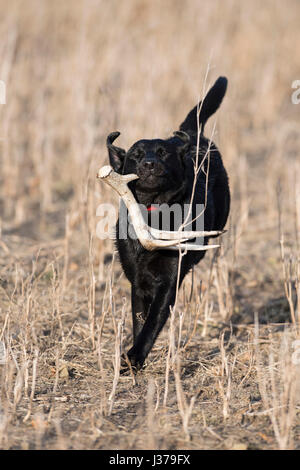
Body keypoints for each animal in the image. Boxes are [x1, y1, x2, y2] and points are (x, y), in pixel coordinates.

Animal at [105, 76, 230, 370]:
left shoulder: (169, 282)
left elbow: (152, 322)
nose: (150, 164)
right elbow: (139, 319)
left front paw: (134, 357)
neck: (154, 215)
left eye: (164, 153)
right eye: (136, 155)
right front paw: (134, 357)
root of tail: (193, 135)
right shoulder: (137, 282)